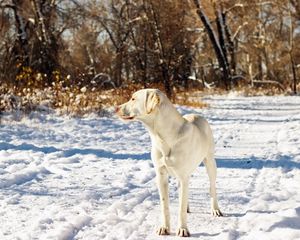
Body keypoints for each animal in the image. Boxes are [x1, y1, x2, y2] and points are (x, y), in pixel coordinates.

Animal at [116, 88, 221, 236]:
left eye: (133, 99)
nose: (115, 108)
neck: (163, 137)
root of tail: (197, 115)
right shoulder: (161, 176)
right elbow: (165, 206)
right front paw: (164, 228)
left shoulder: (183, 176)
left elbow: (181, 209)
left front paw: (183, 229)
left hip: (210, 163)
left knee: (212, 187)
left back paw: (215, 209)